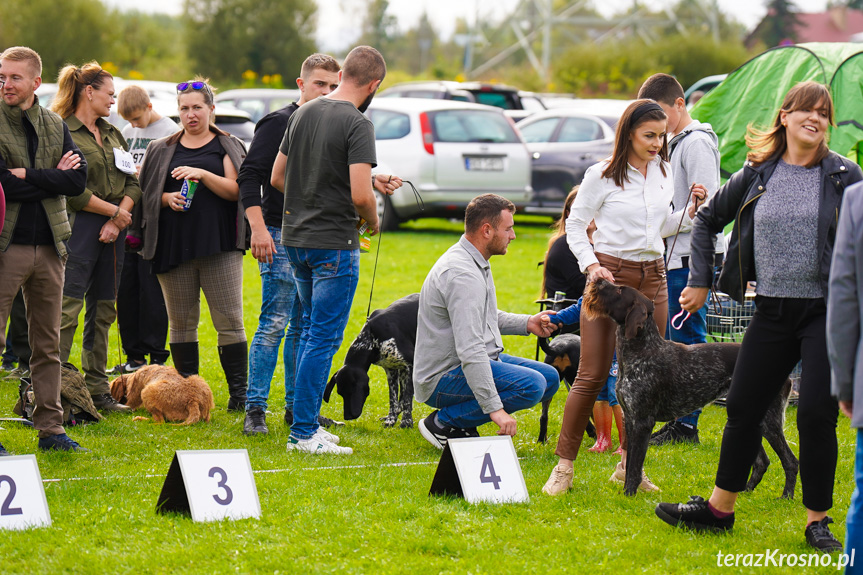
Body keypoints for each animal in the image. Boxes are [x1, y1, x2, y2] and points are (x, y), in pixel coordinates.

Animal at [324, 296, 418, 428]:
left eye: (350, 392)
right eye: (340, 393)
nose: (347, 417)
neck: (371, 337)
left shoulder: (411, 365)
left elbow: (407, 399)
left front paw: (406, 422)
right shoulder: (392, 370)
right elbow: (393, 399)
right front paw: (391, 419)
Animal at [584, 278, 800, 496]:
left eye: (619, 290)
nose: (598, 279)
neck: (642, 351)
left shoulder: (643, 421)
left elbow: (635, 465)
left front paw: (630, 493)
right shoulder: (629, 418)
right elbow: (629, 464)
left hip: (769, 421)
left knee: (791, 461)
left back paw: (786, 496)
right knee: (762, 462)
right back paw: (745, 492)